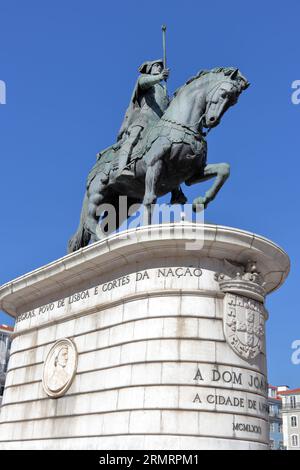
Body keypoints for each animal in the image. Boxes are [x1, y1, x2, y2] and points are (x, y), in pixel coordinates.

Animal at [68, 67, 248, 253]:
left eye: (233, 101)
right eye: (224, 93)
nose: (211, 121)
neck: (181, 126)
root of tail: (96, 165)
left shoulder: (192, 174)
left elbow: (224, 170)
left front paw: (201, 201)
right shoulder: (155, 164)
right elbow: (150, 199)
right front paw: (146, 231)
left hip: (123, 203)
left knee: (105, 223)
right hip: (98, 192)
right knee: (90, 221)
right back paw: (105, 242)